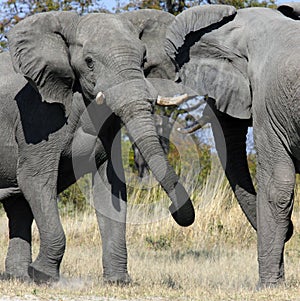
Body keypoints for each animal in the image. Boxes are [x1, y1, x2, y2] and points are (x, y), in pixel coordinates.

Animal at [0, 8, 197, 284]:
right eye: (89, 61)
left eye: (144, 58)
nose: (173, 210)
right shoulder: (37, 115)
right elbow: (35, 178)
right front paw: (43, 276)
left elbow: (110, 187)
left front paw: (119, 282)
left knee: (18, 206)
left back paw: (18, 277)